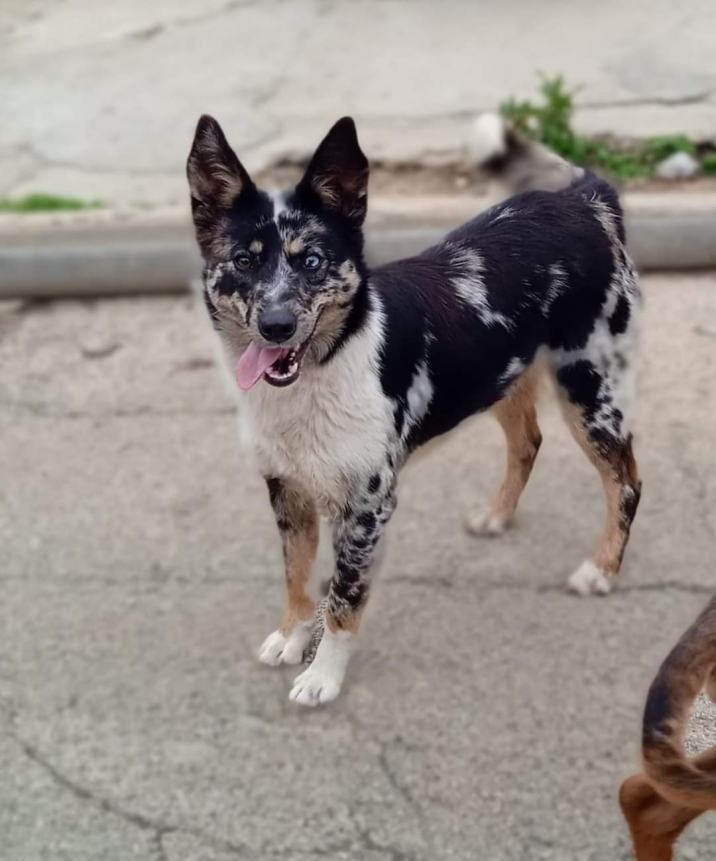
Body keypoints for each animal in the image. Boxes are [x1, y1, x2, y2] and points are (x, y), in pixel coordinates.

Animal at [186, 114, 644, 704]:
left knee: (625, 483)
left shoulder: (368, 505)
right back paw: (497, 515)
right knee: (528, 441)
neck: (326, 367)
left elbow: (344, 599)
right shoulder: (288, 492)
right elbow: (296, 573)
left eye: (312, 261)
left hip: (590, 390)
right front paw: (292, 634)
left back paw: (602, 569)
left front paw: (323, 675)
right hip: (498, 374)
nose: (277, 326)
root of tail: (585, 201)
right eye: (243, 261)